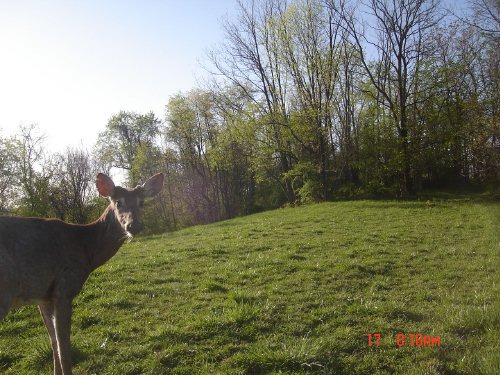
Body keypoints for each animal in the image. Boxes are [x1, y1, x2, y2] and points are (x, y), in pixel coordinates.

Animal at [0, 173, 165, 375]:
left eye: (142, 202)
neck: (86, 249)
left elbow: (54, 344)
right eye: (118, 202)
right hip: (5, 291)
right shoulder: (64, 287)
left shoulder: (42, 297)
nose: (134, 226)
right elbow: (64, 349)